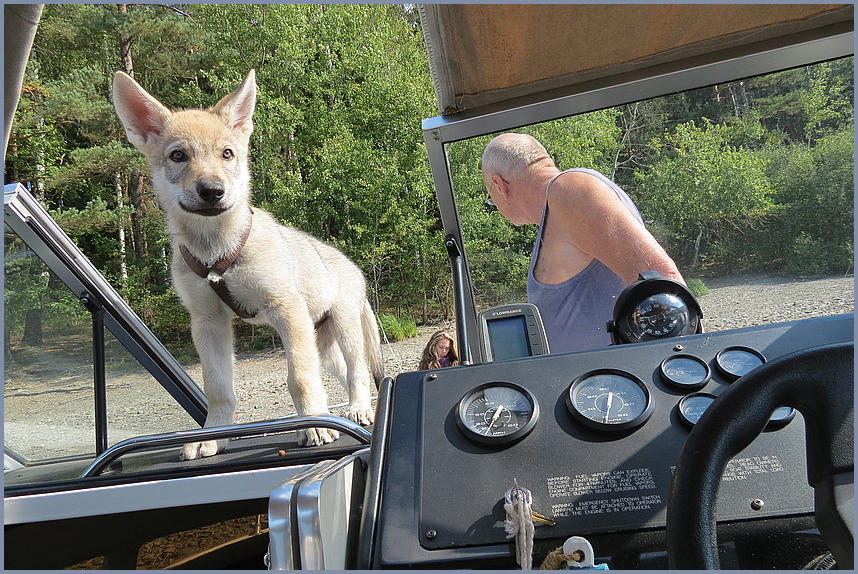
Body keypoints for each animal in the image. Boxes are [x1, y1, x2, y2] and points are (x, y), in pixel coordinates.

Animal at [112, 70, 380, 462]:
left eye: (227, 153)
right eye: (178, 155)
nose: (212, 190)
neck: (216, 255)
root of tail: (352, 264)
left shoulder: (286, 310)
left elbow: (299, 379)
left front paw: (314, 426)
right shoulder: (208, 323)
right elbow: (218, 389)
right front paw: (212, 438)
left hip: (345, 331)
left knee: (359, 373)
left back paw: (359, 411)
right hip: (324, 347)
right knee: (345, 375)